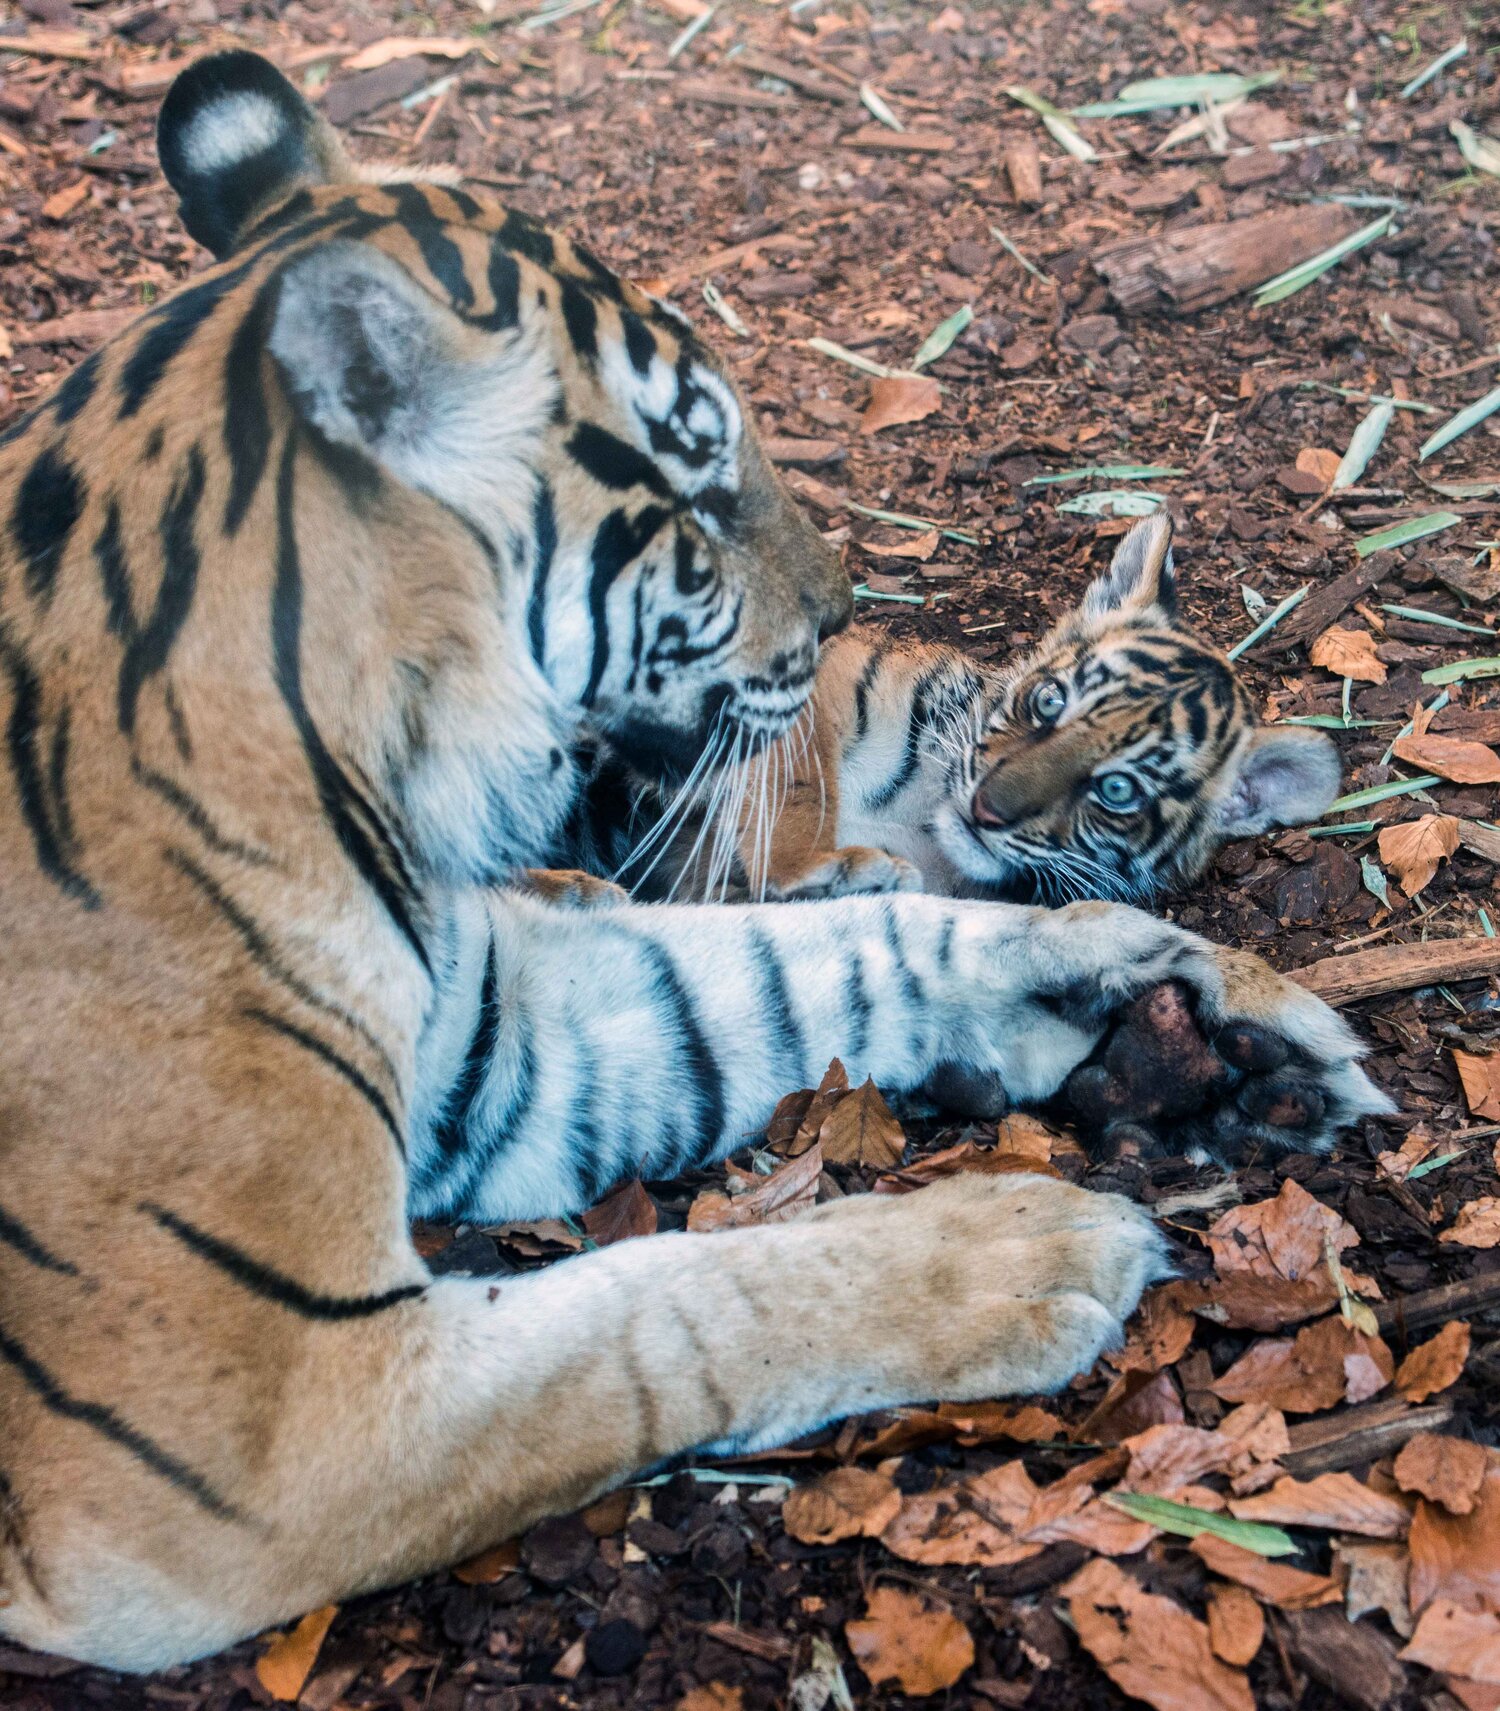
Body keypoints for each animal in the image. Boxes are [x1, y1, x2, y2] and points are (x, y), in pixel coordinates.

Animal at [562, 510, 1340, 907]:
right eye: (1049, 701)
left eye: (1118, 790)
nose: (987, 811)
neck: (918, 821)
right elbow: (804, 782)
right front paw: (811, 869)